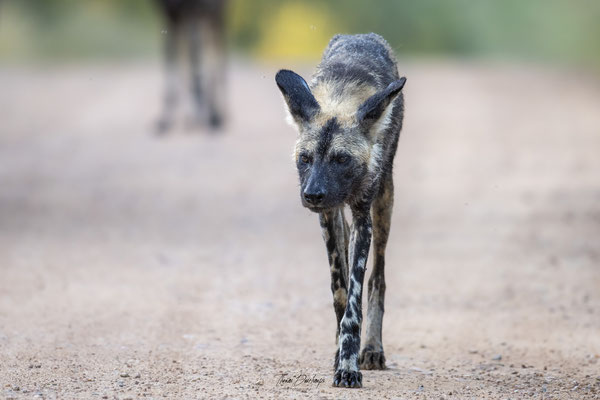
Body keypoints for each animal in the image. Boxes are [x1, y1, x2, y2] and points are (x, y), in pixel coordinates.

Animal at [155, 0, 227, 134]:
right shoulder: (173, 15)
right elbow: (178, 69)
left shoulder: (203, 12)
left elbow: (204, 67)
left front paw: (209, 115)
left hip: (215, 19)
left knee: (218, 61)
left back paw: (217, 113)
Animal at [276, 33, 408, 388]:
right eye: (305, 158)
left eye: (341, 159)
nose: (312, 194)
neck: (341, 97)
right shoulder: (328, 218)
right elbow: (340, 292)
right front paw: (340, 356)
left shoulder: (363, 218)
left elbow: (355, 301)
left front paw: (349, 365)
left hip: (384, 205)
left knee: (378, 279)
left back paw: (373, 348)